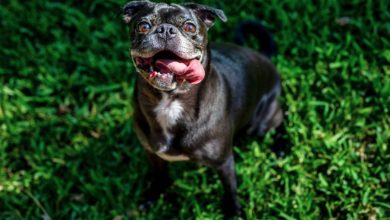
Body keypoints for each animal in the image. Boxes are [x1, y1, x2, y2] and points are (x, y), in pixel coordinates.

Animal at [122, 0, 284, 218]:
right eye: (143, 26)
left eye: (190, 27)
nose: (166, 30)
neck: (171, 101)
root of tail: (262, 56)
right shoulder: (153, 154)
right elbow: (159, 177)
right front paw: (152, 197)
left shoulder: (224, 162)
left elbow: (230, 188)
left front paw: (234, 212)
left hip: (261, 122)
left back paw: (281, 146)